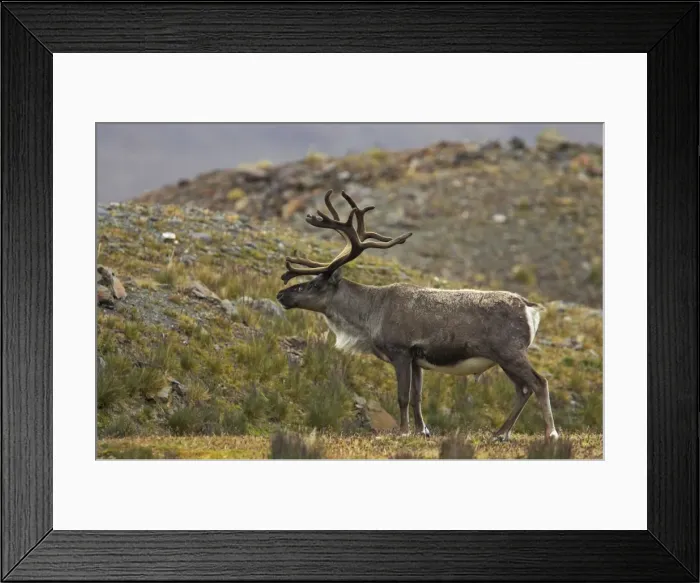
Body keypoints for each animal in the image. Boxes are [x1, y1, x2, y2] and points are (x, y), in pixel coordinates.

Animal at [276, 189, 558, 442]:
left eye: (315, 285)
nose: (281, 294)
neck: (370, 315)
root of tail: (529, 307)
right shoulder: (416, 359)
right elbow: (416, 397)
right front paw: (423, 430)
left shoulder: (400, 351)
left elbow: (402, 396)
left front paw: (403, 432)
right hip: (503, 358)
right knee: (523, 389)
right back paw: (500, 433)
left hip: (510, 352)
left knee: (539, 383)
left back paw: (550, 433)